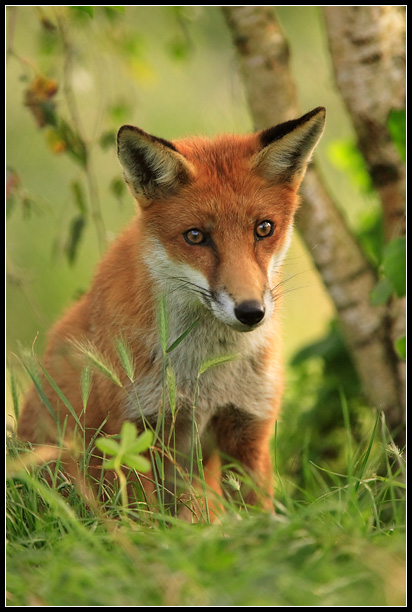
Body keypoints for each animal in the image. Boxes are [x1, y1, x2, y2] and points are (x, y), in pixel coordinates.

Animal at [16, 107, 326, 520]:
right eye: (195, 236)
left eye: (264, 228)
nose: (251, 312)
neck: (207, 378)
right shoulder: (134, 435)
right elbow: (148, 522)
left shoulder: (248, 431)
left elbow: (258, 514)